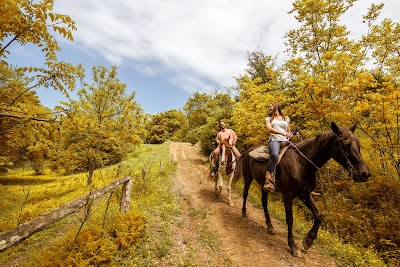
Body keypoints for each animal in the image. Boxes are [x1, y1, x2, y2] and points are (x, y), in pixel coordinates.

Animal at [233, 123, 370, 258]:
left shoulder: (305, 195)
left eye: (358, 144)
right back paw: (244, 212)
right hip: (248, 177)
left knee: (264, 203)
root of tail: (249, 150)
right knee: (245, 193)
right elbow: (290, 219)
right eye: (345, 144)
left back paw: (270, 226)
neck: (302, 163)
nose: (365, 174)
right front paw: (293, 247)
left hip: (264, 185)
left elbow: (318, 215)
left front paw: (308, 240)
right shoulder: (288, 196)